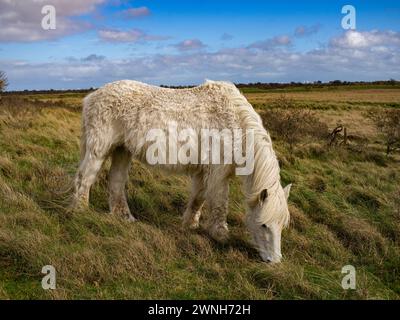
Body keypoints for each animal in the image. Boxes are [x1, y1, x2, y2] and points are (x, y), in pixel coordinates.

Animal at [71, 79, 290, 262]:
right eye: (264, 225)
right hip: (99, 149)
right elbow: (220, 204)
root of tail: (92, 97)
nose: (274, 261)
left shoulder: (203, 172)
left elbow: (198, 199)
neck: (234, 122)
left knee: (116, 181)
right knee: (84, 178)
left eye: (281, 225)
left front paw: (189, 225)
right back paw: (80, 211)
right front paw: (221, 235)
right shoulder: (218, 173)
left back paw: (125, 217)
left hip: (122, 150)